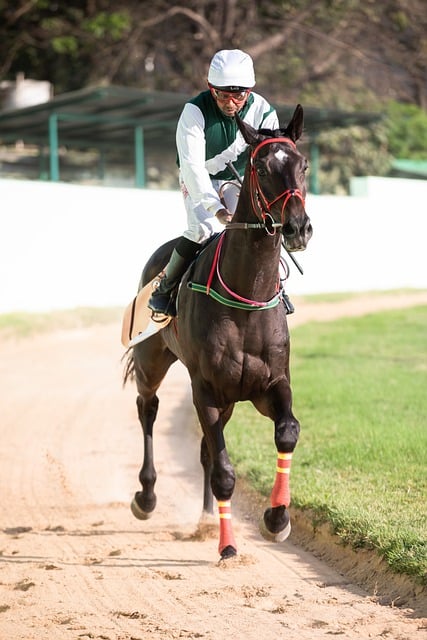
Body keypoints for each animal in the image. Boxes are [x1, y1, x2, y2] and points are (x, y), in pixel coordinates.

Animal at [123, 104, 313, 559]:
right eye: (262, 167)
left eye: (303, 164)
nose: (298, 227)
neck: (247, 296)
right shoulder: (205, 389)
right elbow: (225, 471)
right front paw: (228, 547)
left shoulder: (270, 384)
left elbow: (287, 432)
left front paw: (277, 519)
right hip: (152, 364)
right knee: (148, 409)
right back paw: (146, 497)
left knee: (207, 450)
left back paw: (208, 518)